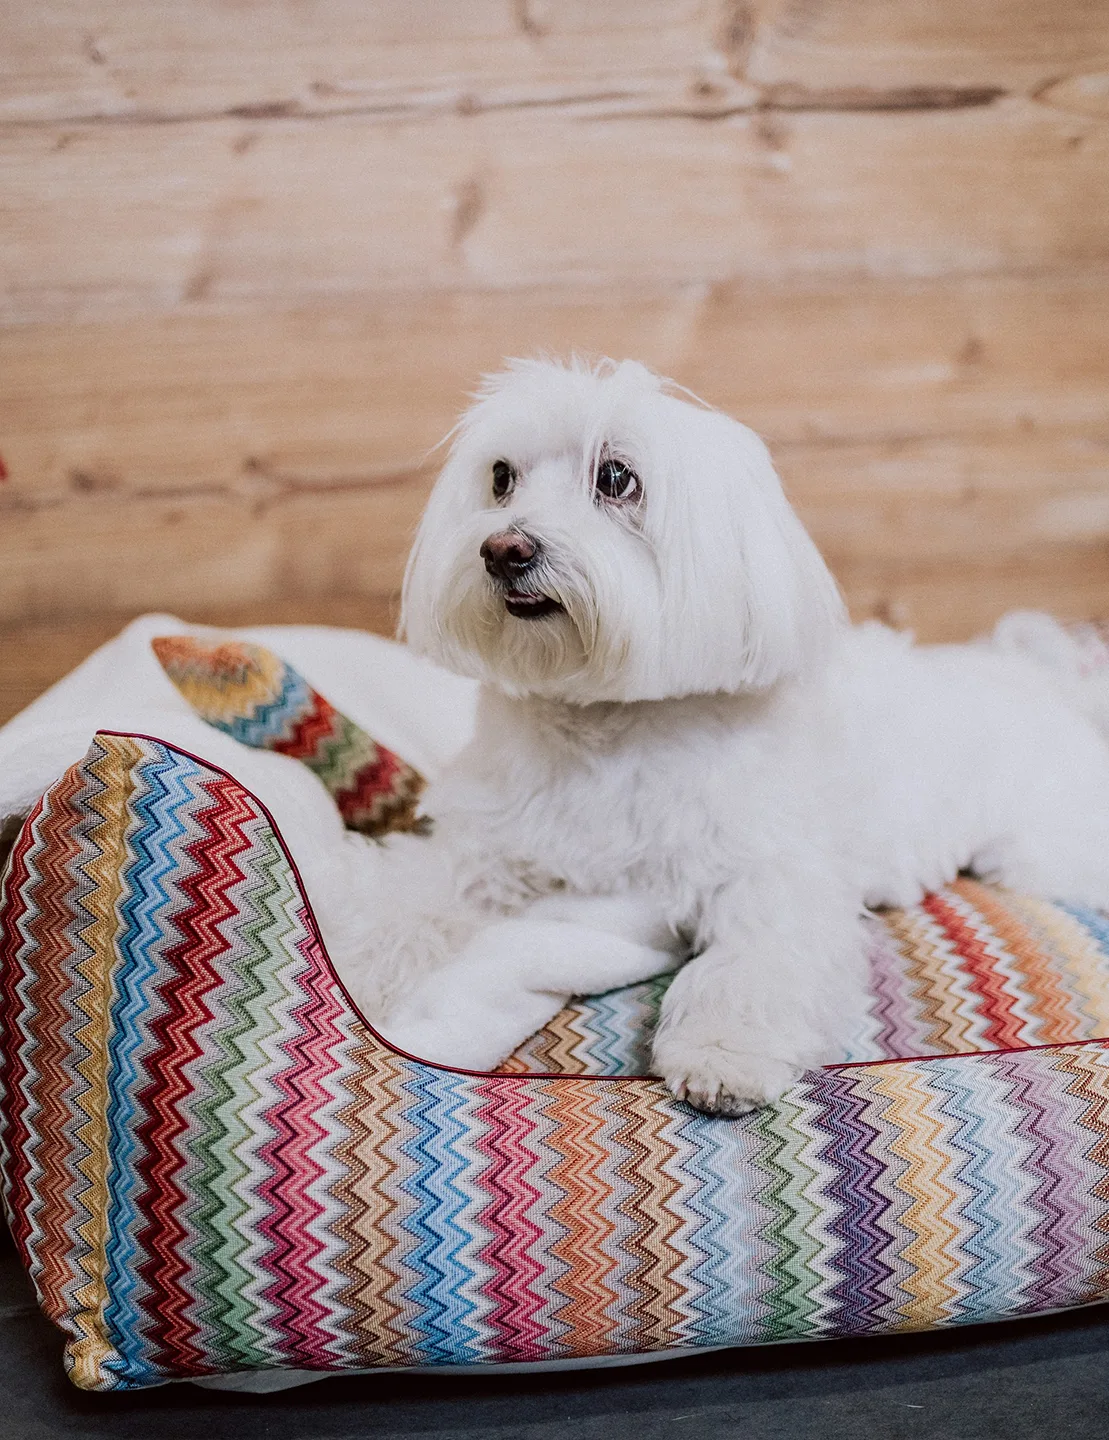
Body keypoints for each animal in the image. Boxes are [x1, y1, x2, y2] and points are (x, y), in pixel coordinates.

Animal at [341, 357, 1106, 1111]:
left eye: (614, 477)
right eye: (500, 477)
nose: (503, 548)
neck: (606, 725)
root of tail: (1034, 673)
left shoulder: (768, 870)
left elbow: (750, 959)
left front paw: (721, 1052)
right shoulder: (484, 850)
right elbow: (406, 897)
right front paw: (354, 966)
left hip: (1046, 848)